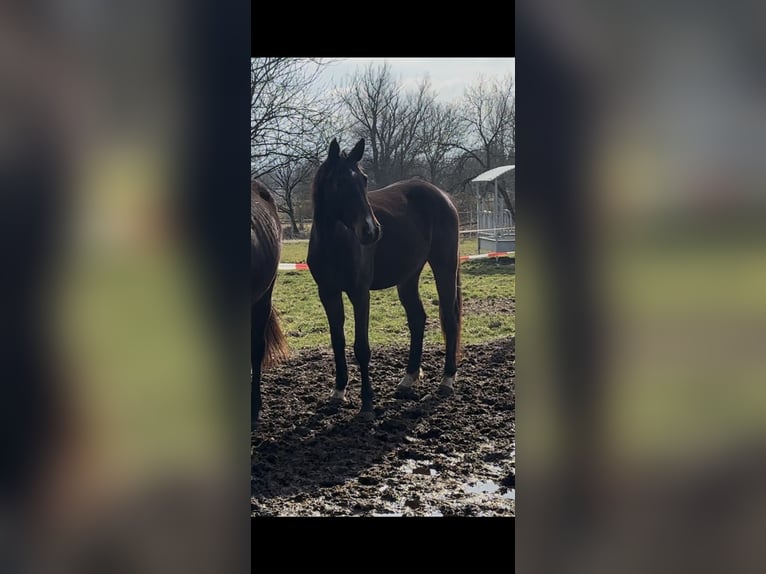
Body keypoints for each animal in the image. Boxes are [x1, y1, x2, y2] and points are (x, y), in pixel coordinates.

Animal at [308, 139, 464, 418]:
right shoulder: (328, 293)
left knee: (449, 318)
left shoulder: (360, 293)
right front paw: (338, 392)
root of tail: (443, 196)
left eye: (364, 179)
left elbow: (361, 347)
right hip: (408, 276)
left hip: (444, 266)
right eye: (339, 183)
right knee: (417, 318)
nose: (371, 231)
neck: (333, 243)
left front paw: (367, 403)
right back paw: (408, 378)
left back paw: (446, 380)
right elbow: (338, 341)